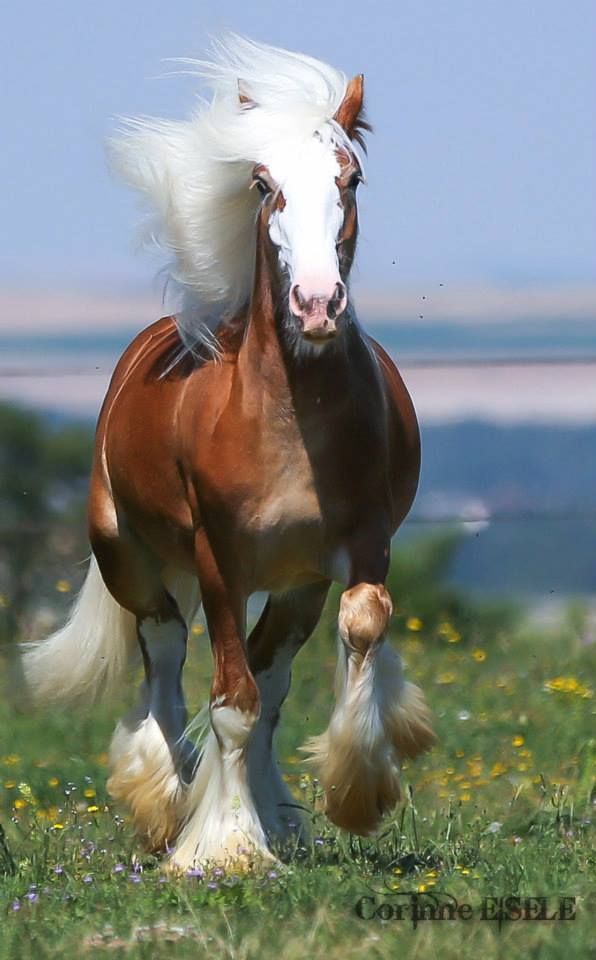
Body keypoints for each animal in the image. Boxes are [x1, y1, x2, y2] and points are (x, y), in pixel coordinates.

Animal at [19, 36, 434, 871]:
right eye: (263, 182)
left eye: (350, 178)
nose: (316, 304)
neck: (289, 421)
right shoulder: (221, 560)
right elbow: (230, 700)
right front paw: (224, 848)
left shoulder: (354, 548)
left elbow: (356, 630)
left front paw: (353, 789)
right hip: (127, 556)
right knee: (164, 648)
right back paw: (164, 800)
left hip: (294, 583)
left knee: (269, 678)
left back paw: (269, 811)